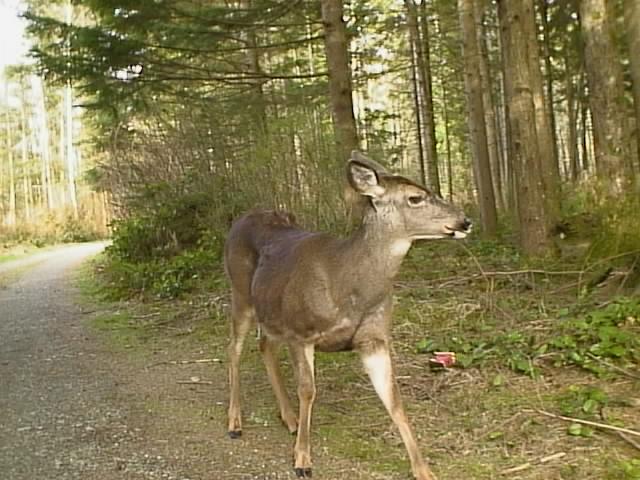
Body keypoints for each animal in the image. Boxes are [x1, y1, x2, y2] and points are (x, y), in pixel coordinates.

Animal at [224, 151, 470, 480]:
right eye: (415, 198)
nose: (464, 221)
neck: (348, 285)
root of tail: (239, 219)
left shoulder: (374, 339)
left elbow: (394, 399)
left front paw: (423, 470)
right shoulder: (301, 331)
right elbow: (308, 390)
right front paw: (302, 459)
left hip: (272, 311)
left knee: (264, 345)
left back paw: (289, 419)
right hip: (241, 294)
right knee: (234, 349)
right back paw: (235, 422)